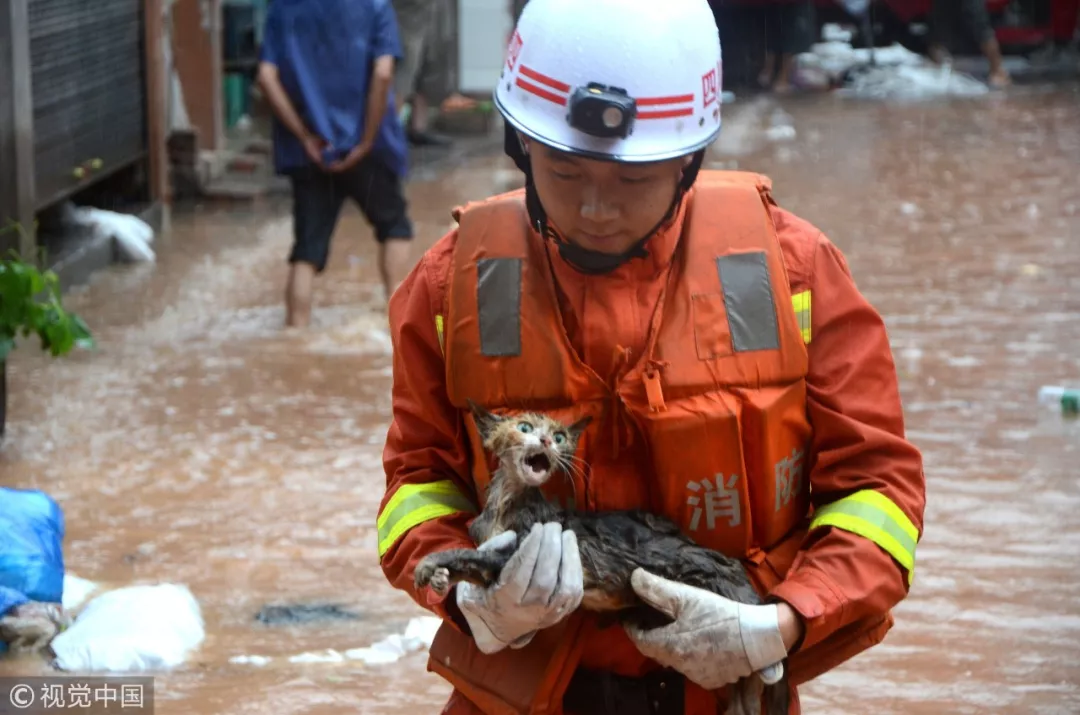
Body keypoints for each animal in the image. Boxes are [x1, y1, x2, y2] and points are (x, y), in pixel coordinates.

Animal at [410, 403, 786, 715]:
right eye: (524, 427)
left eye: (559, 436)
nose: (545, 440)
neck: (507, 501)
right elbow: (474, 560)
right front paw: (442, 579)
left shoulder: (517, 549)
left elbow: (472, 557)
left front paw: (432, 565)